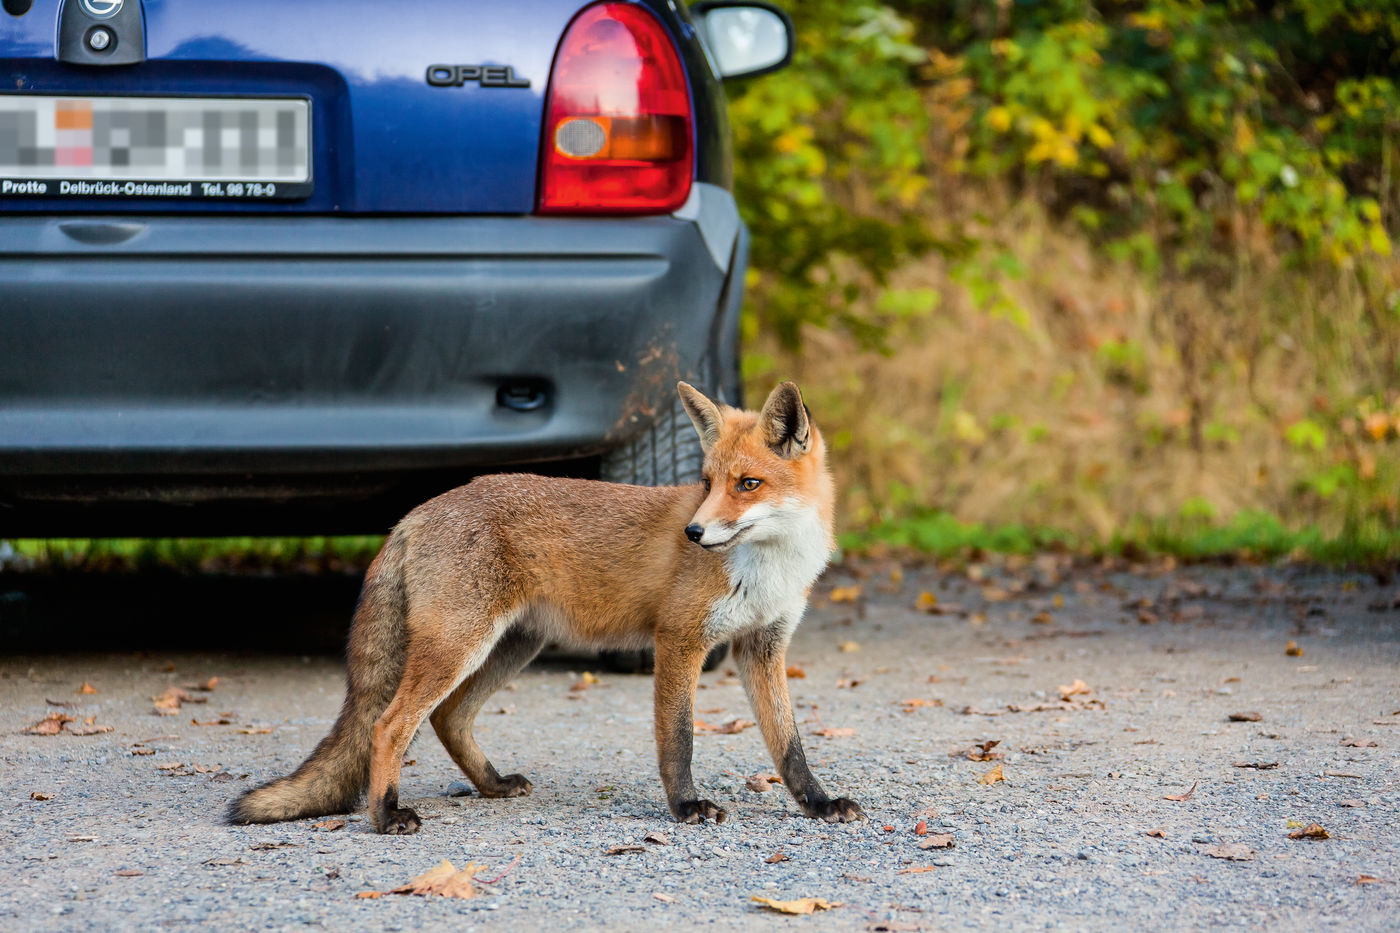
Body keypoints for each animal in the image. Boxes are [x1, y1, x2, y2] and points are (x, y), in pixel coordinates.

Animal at [229, 380, 865, 832]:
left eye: (748, 484)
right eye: (707, 483)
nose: (693, 532)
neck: (769, 567)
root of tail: (415, 513)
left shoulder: (762, 647)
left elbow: (789, 744)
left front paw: (819, 803)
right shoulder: (680, 640)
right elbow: (679, 739)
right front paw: (686, 807)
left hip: (511, 646)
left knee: (446, 717)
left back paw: (491, 786)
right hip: (461, 646)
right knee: (390, 725)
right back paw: (386, 816)